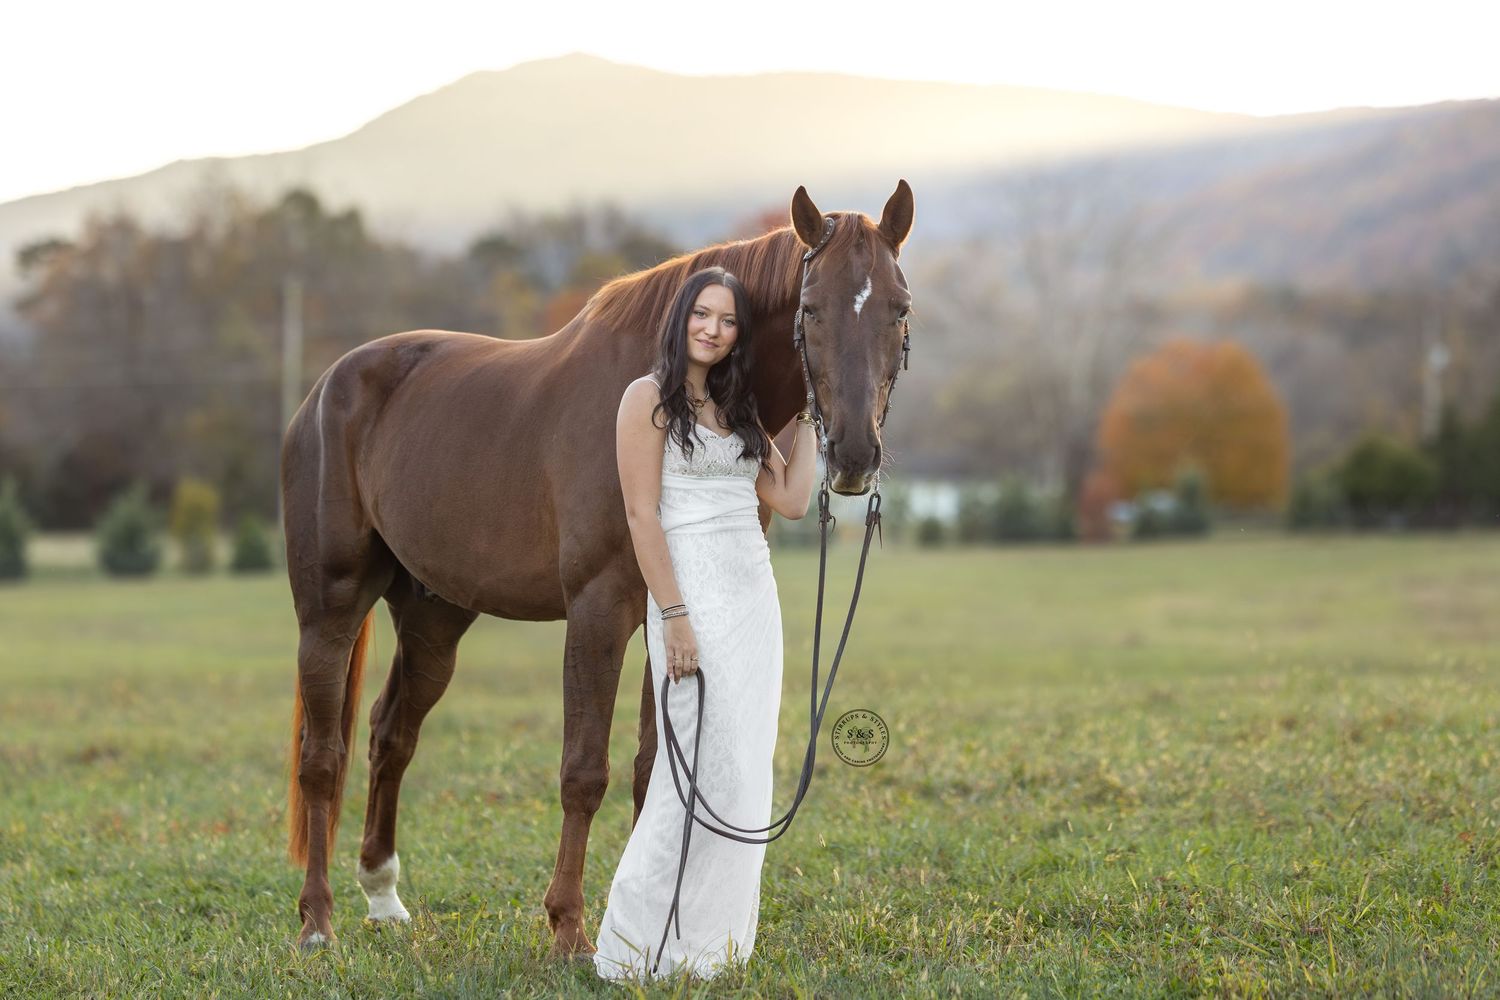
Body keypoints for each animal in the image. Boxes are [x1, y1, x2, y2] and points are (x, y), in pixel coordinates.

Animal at [281, 180, 915, 954]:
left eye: (899, 308)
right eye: (812, 308)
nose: (853, 455)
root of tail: (326, 388)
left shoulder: (669, 619)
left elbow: (653, 772)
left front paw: (649, 936)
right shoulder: (598, 611)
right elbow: (584, 771)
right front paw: (569, 931)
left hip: (433, 616)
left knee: (389, 734)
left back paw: (382, 896)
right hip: (330, 609)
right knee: (323, 754)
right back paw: (317, 922)